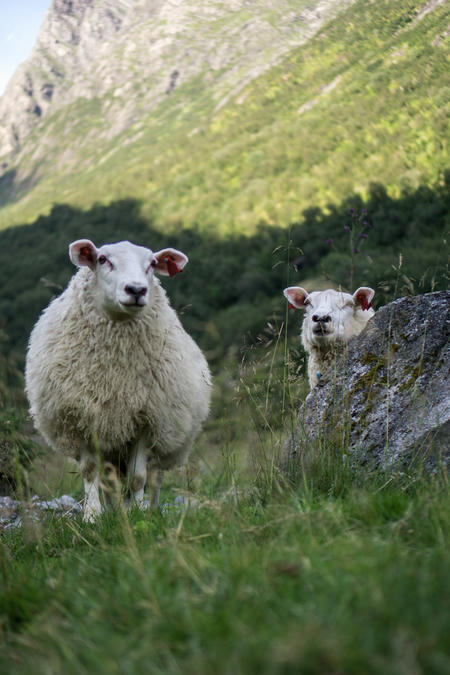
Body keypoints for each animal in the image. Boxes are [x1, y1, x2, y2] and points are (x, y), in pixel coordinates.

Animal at [25, 239, 212, 524]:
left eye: (152, 264)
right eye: (103, 259)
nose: (136, 290)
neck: (113, 373)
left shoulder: (146, 420)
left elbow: (138, 477)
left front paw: (140, 514)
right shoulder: (81, 416)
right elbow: (91, 472)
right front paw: (92, 516)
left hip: (165, 434)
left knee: (154, 477)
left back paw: (149, 508)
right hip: (112, 440)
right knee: (111, 481)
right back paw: (113, 511)